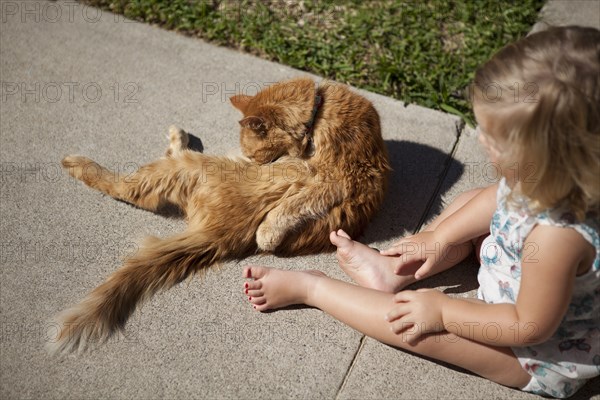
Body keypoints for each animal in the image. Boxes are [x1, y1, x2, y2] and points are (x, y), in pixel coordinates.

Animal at [49, 77, 392, 354]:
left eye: (257, 154)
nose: (255, 162)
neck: (319, 112)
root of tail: (217, 237)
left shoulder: (335, 179)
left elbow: (294, 206)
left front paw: (268, 234)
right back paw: (178, 135)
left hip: (193, 169)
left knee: (130, 188)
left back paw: (78, 163)